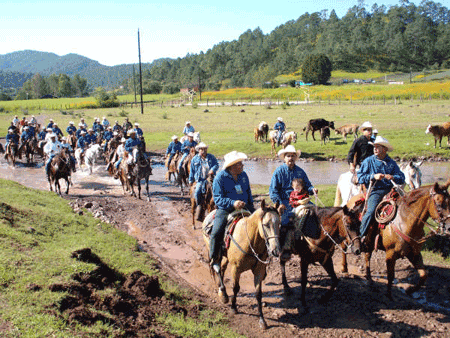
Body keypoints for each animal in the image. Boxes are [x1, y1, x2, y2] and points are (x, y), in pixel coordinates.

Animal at [201, 201, 280, 330]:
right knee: (216, 267)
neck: (250, 241)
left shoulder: (259, 270)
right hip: (213, 250)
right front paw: (234, 308)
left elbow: (258, 294)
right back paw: (223, 294)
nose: (276, 251)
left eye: (279, 223)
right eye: (266, 225)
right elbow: (236, 288)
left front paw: (262, 320)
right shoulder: (236, 268)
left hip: (225, 257)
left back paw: (221, 290)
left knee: (222, 268)